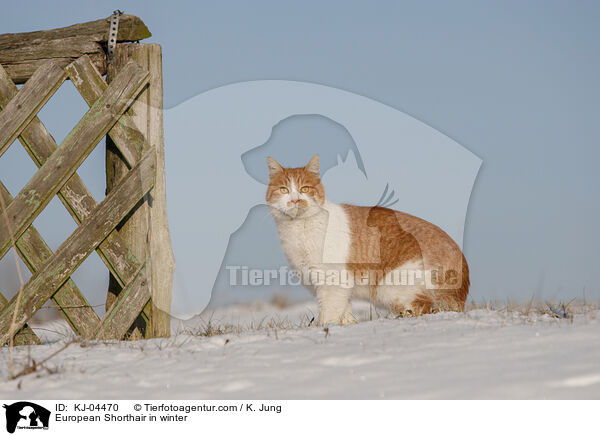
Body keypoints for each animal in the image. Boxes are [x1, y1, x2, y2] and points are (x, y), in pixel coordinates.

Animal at [266, 155, 468, 326]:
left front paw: (326, 327)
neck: (298, 228)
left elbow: (329, 312)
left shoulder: (332, 281)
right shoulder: (336, 286)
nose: (295, 200)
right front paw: (347, 324)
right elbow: (344, 310)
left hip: (390, 286)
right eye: (284, 189)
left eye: (304, 189)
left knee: (424, 306)